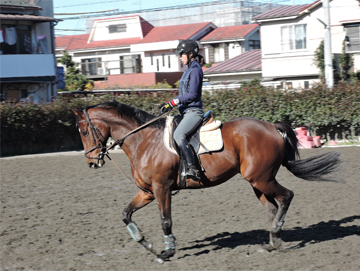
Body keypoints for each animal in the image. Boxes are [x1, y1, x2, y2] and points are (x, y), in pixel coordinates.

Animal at [71, 101, 342, 264]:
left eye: (84, 132)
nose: (92, 163)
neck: (145, 140)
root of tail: (272, 127)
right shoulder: (147, 191)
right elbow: (126, 213)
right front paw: (146, 244)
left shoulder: (161, 188)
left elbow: (165, 220)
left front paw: (167, 251)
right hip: (258, 181)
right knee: (272, 207)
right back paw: (273, 241)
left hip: (261, 178)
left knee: (286, 196)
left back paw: (276, 235)